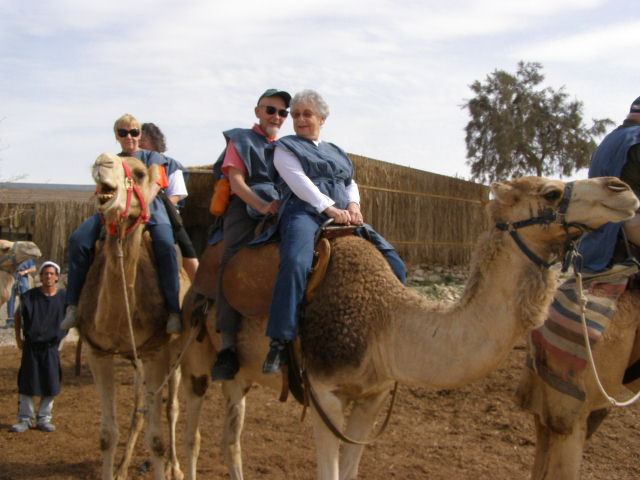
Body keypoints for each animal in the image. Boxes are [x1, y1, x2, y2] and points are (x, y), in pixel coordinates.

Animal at [76, 153, 188, 480]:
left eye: (138, 173)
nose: (102, 161)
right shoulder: (98, 352)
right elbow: (106, 434)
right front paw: (113, 469)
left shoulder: (156, 353)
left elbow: (157, 439)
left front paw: (166, 467)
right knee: (139, 406)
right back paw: (123, 466)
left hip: (176, 354)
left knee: (171, 409)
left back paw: (177, 468)